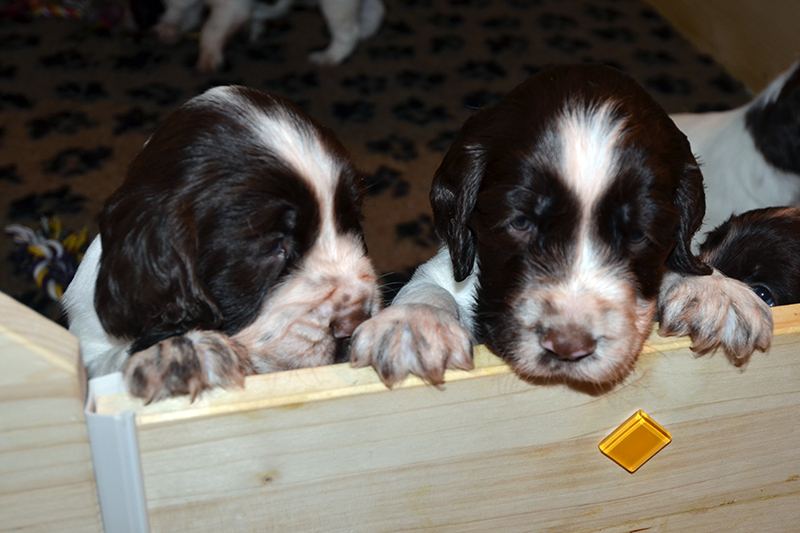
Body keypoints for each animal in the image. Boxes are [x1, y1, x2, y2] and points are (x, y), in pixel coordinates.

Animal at [136, 0, 386, 72]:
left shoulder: (229, 8)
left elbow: (211, 30)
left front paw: (208, 58)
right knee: (374, 10)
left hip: (336, 6)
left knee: (347, 32)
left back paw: (329, 57)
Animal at [352, 64, 776, 388]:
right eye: (521, 223)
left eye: (638, 235)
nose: (568, 347)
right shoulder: (452, 264)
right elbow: (430, 287)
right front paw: (414, 326)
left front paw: (714, 290)